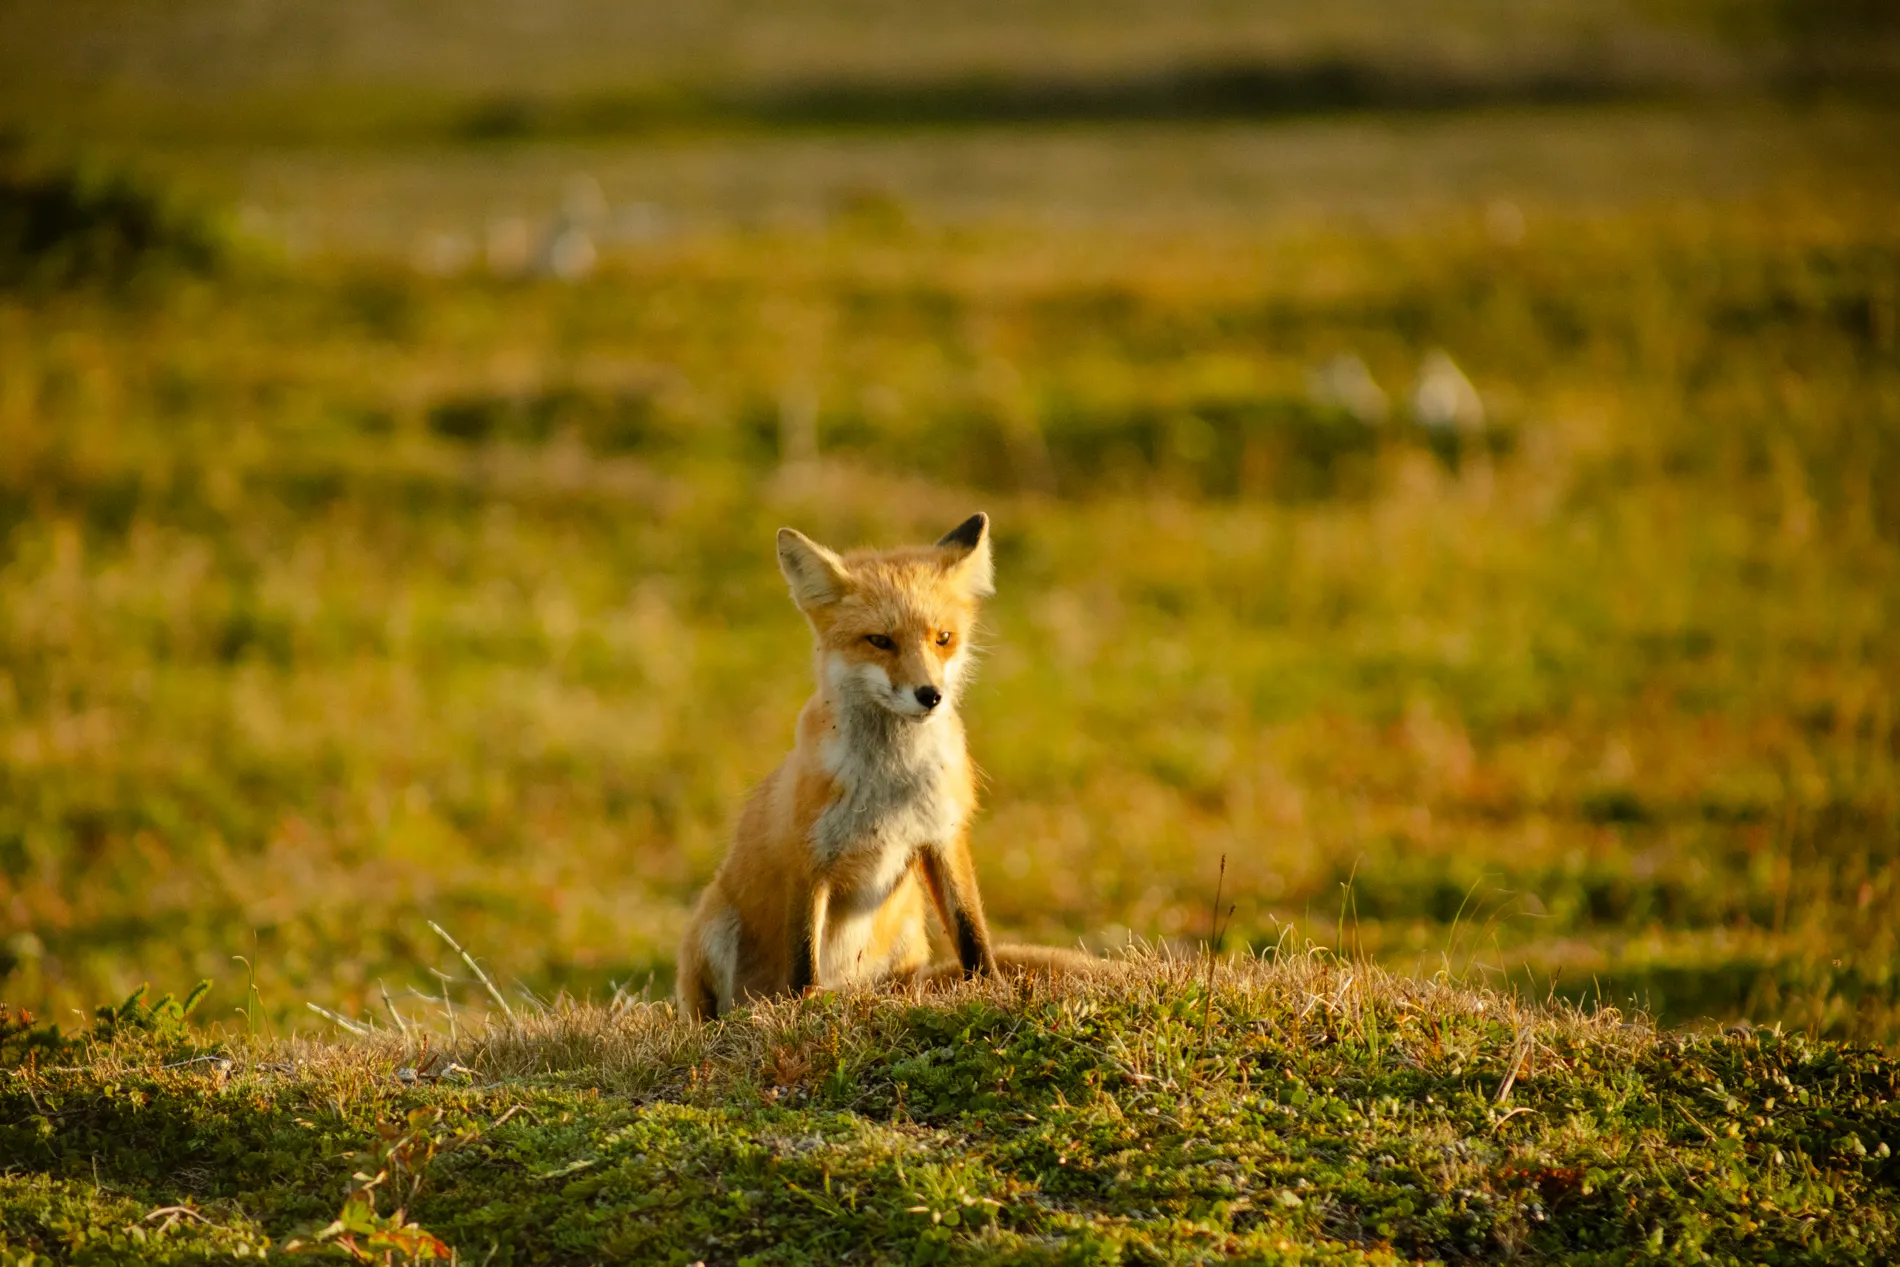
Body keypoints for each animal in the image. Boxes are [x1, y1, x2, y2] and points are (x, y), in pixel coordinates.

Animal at [675, 512, 1097, 1019]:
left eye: (943, 638)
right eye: (880, 641)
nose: (930, 695)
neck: (890, 785)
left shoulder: (943, 834)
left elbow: (970, 930)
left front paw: (990, 989)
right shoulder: (807, 856)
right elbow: (803, 959)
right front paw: (804, 1010)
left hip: (908, 934)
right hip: (712, 927)